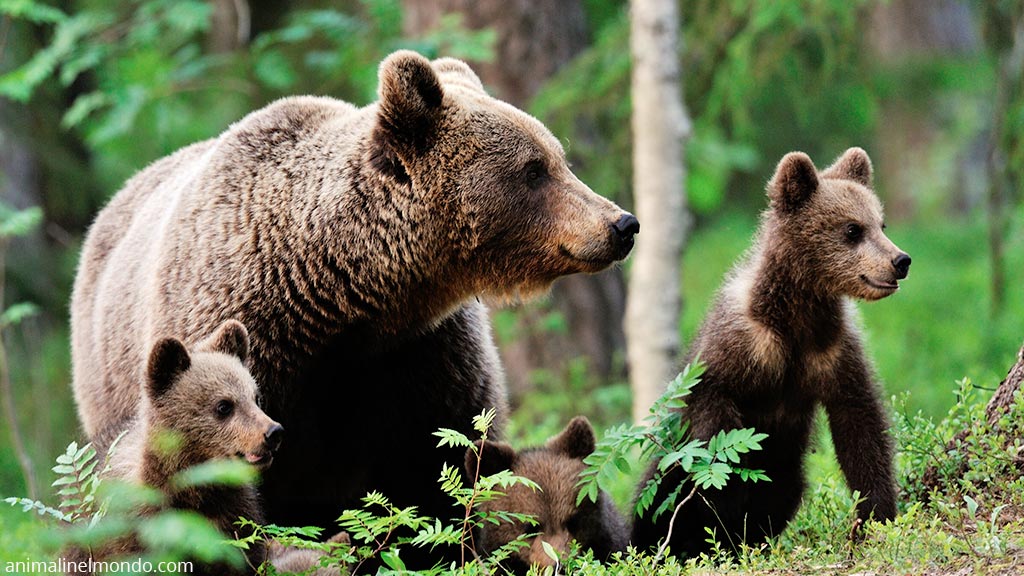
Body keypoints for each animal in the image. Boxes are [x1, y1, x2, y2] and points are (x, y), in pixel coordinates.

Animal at [630, 148, 910, 557]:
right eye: (852, 229)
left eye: (881, 224)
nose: (900, 261)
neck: (796, 316)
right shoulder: (741, 345)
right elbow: (714, 412)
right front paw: (727, 494)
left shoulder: (833, 351)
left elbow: (861, 428)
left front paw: (875, 517)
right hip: (671, 463)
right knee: (658, 498)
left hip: (786, 468)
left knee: (785, 490)